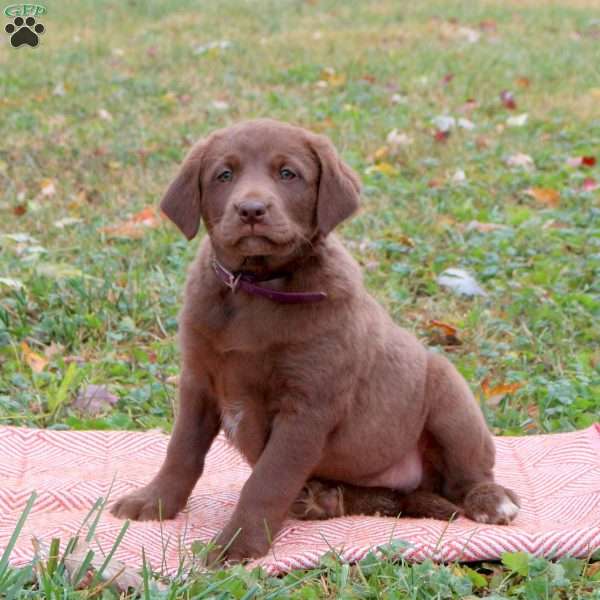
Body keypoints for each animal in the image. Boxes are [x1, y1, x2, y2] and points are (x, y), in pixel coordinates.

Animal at [111, 118, 516, 564]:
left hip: (450, 394)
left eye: (288, 174)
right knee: (385, 498)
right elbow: (181, 453)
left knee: (468, 477)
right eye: (224, 174)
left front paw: (238, 544)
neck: (254, 289)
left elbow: (267, 481)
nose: (251, 210)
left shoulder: (307, 406)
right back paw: (325, 500)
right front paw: (154, 502)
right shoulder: (198, 383)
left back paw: (493, 501)